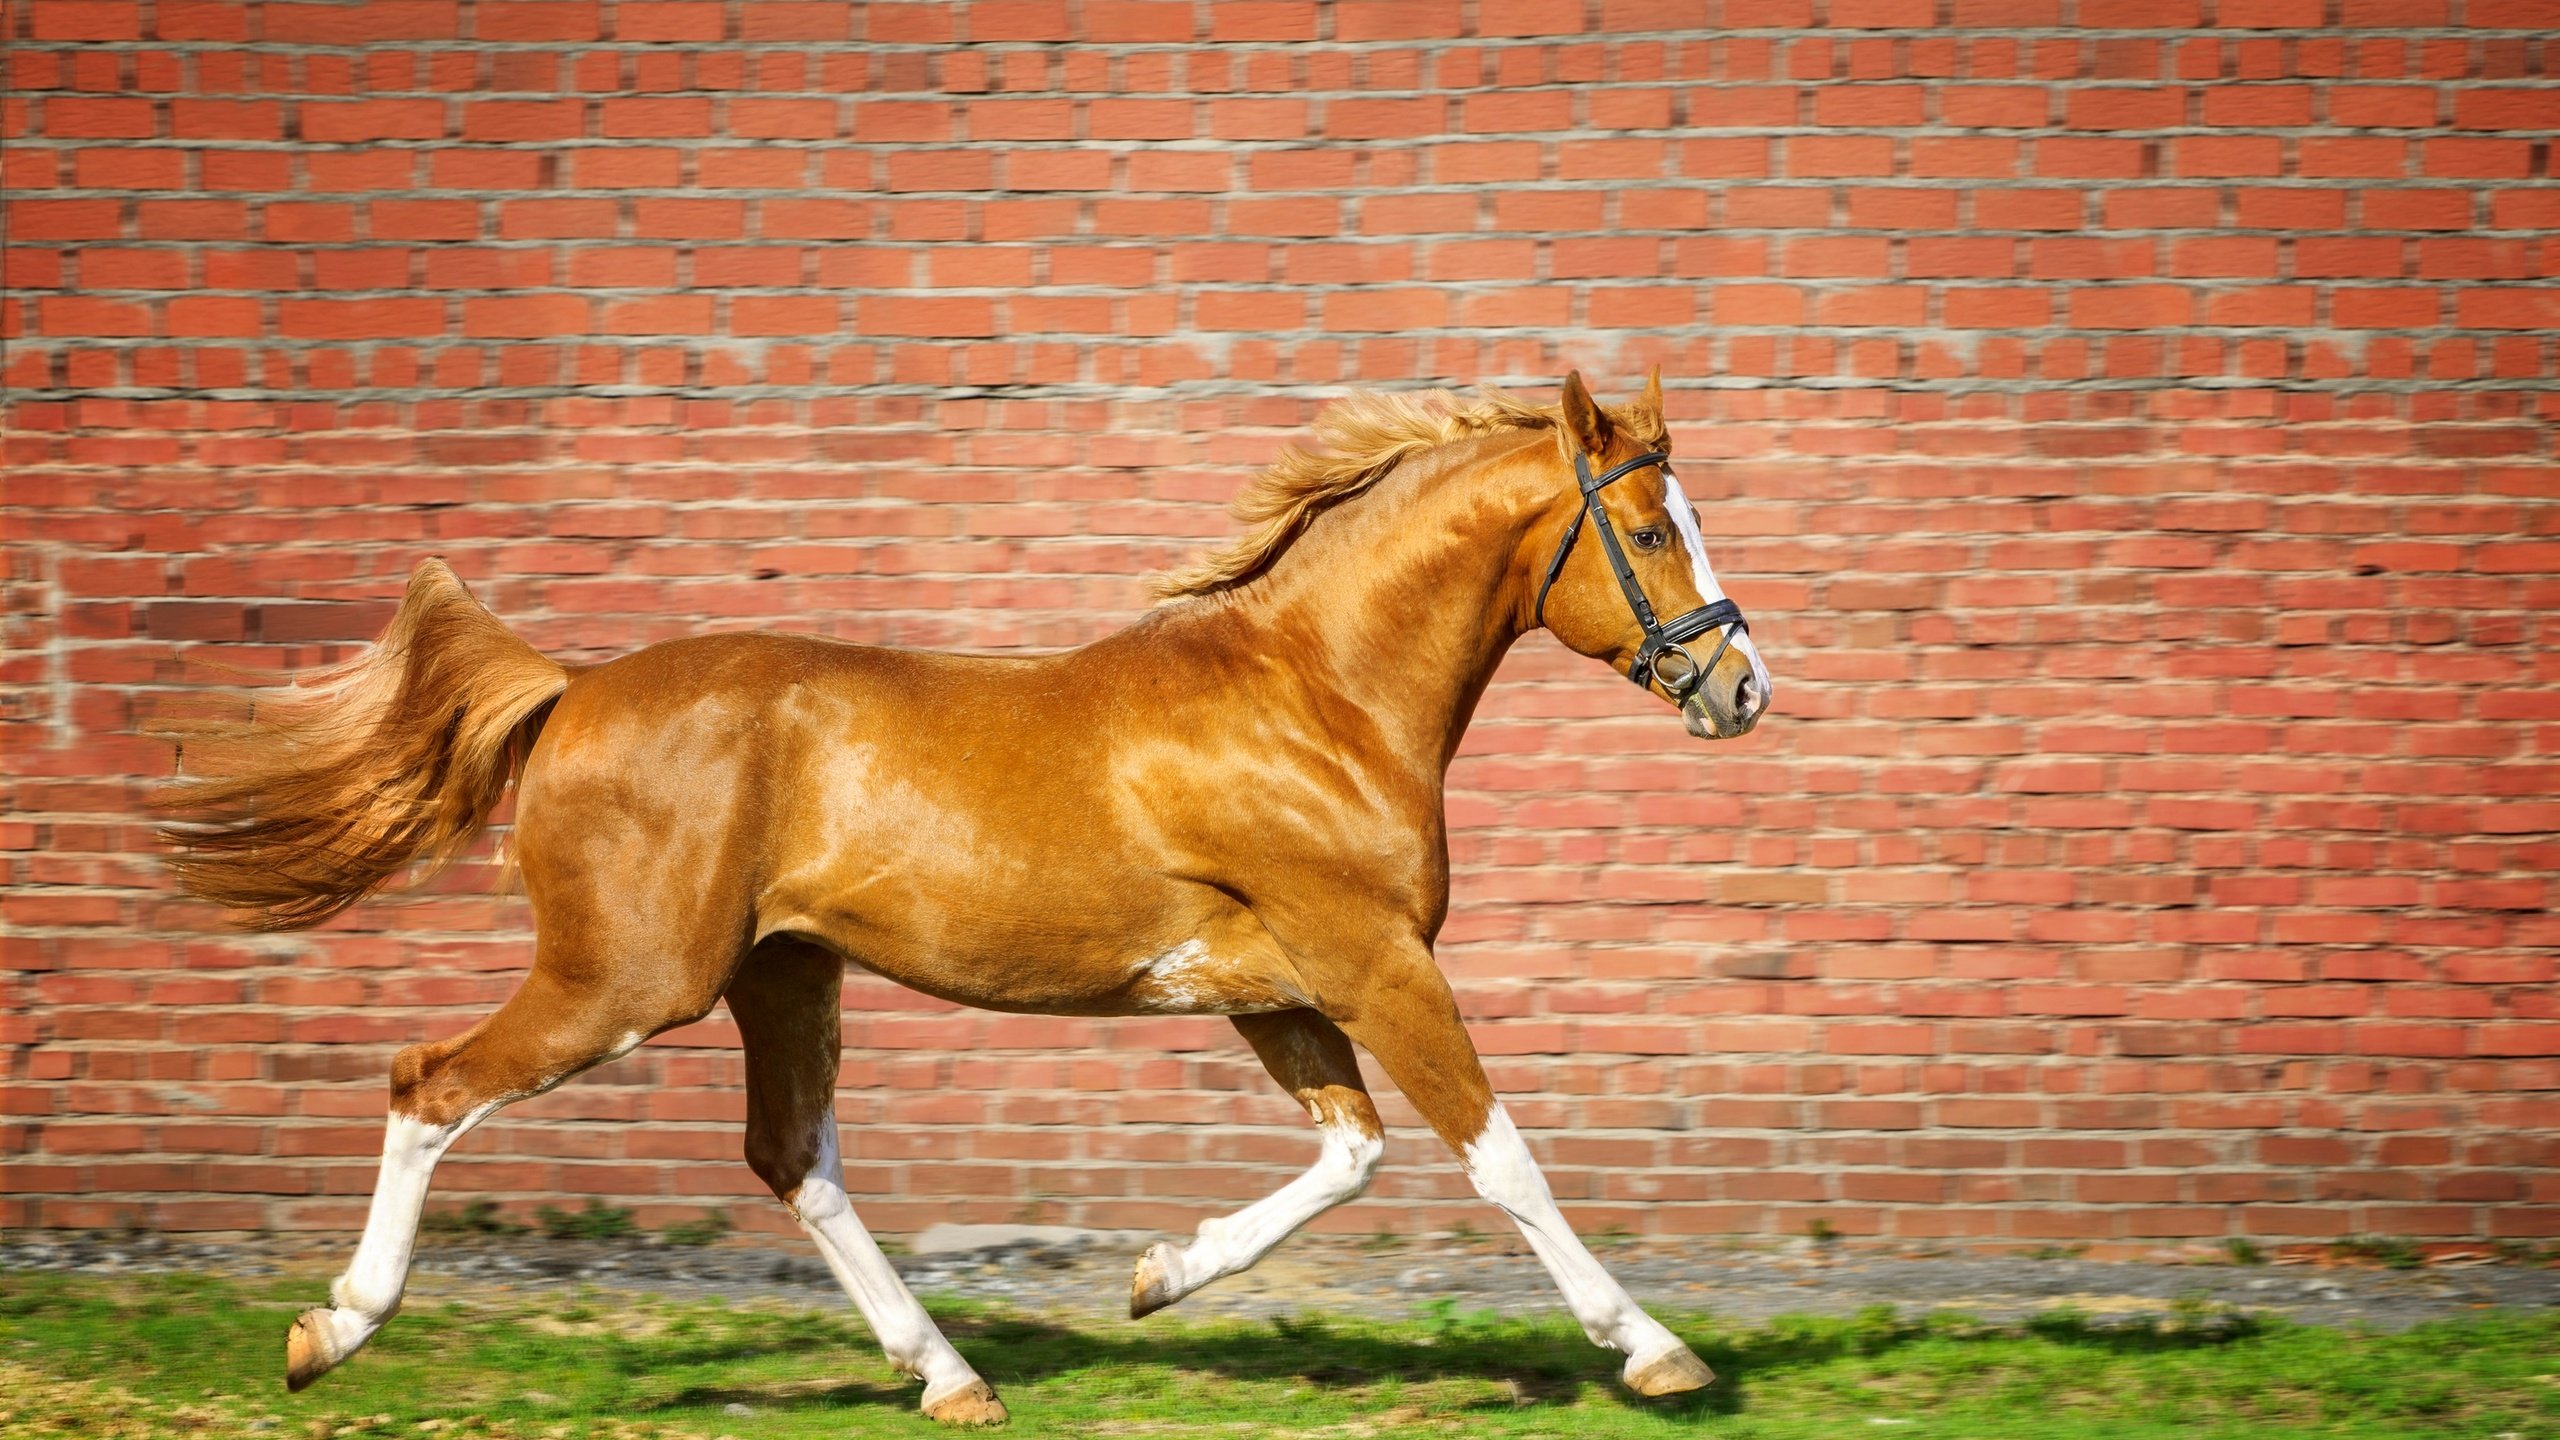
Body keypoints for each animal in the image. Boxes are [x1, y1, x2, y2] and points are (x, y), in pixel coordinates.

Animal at [154, 366, 1761, 1414]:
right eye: (1653, 528)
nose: (1740, 686)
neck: (1316, 698)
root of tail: (573, 691)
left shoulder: (1280, 990)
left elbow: (1351, 1158)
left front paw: (1156, 1275)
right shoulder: (1371, 961)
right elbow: (1497, 1158)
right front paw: (1657, 1353)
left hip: (781, 973)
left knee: (792, 1158)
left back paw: (949, 1377)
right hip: (627, 982)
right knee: (430, 1082)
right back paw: (331, 1333)